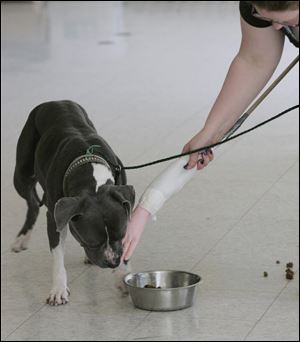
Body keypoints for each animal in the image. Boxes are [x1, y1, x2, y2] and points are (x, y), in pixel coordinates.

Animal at [11, 100, 134, 306]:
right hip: (22, 173)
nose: (112, 262)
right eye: (92, 242)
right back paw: (22, 238)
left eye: (122, 234)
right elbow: (57, 255)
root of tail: (54, 101)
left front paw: (122, 276)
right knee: (33, 203)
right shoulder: (55, 218)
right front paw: (59, 289)